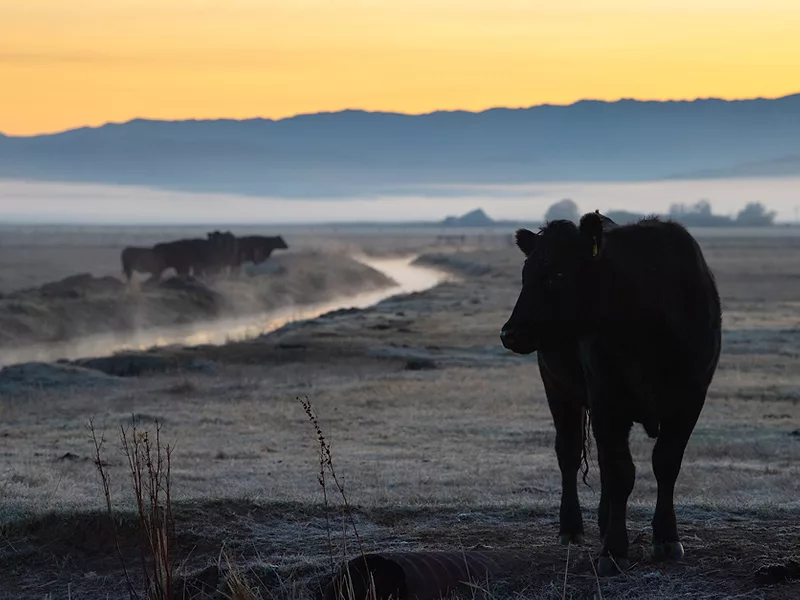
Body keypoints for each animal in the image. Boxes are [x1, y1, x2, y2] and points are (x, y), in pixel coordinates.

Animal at [499, 211, 722, 577]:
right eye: (524, 275)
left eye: (558, 274)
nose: (509, 333)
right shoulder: (606, 399)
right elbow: (620, 472)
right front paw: (614, 551)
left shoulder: (690, 399)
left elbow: (665, 463)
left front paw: (666, 538)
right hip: (558, 387)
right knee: (569, 452)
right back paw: (572, 528)